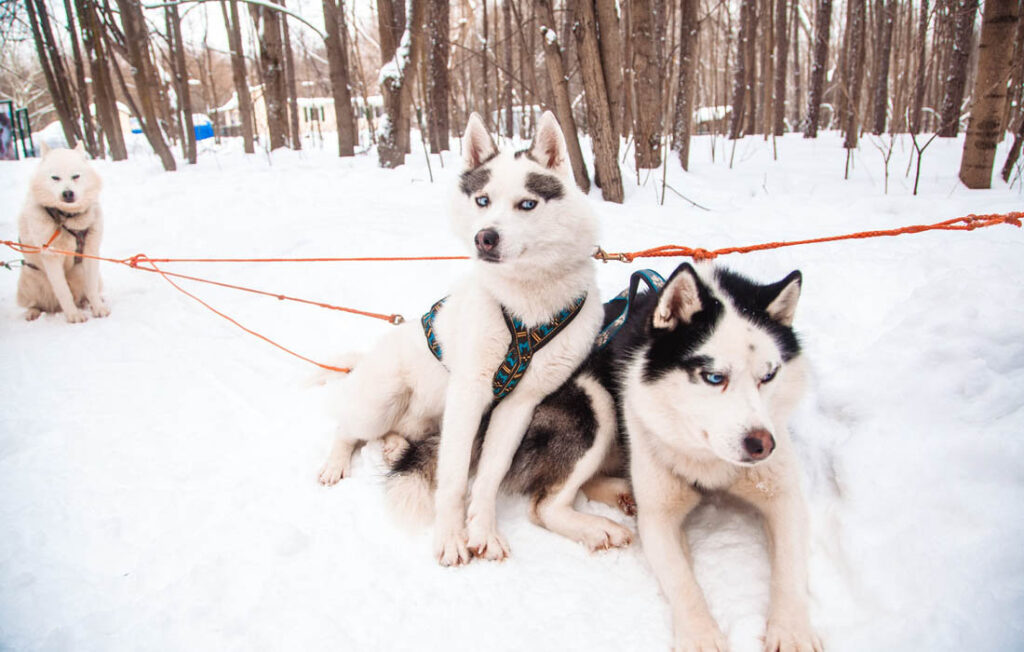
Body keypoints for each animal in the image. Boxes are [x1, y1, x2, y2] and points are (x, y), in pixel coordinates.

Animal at [17, 143, 109, 323]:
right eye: (55, 178)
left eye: (76, 176)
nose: (67, 193)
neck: (68, 218)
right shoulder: (51, 257)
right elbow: (63, 291)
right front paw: (74, 315)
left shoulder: (90, 252)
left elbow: (91, 287)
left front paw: (98, 308)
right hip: (30, 278)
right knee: (35, 303)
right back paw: (33, 312)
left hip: (84, 273)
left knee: (86, 291)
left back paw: (89, 301)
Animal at [317, 112, 598, 564]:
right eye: (482, 200)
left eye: (527, 204)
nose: (486, 237)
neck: (526, 304)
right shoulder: (469, 394)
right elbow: (451, 478)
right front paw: (450, 536)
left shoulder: (519, 406)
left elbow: (488, 476)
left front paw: (483, 530)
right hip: (381, 401)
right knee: (348, 427)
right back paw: (337, 461)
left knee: (401, 434)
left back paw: (394, 446)